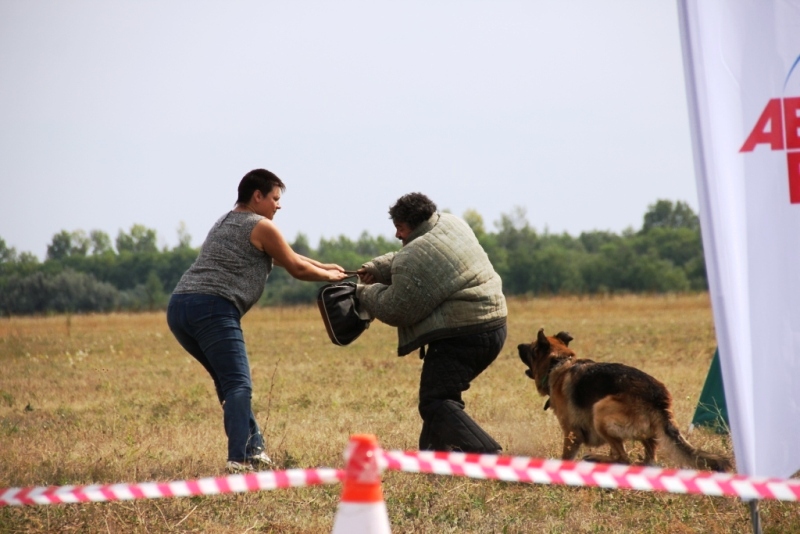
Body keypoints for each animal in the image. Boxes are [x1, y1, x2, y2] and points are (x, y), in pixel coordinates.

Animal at [520, 330, 732, 474]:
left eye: (532, 347)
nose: (518, 346)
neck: (558, 363)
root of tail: (659, 400)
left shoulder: (572, 434)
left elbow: (567, 456)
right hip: (646, 432)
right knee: (645, 458)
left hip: (601, 411)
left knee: (623, 458)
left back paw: (596, 458)